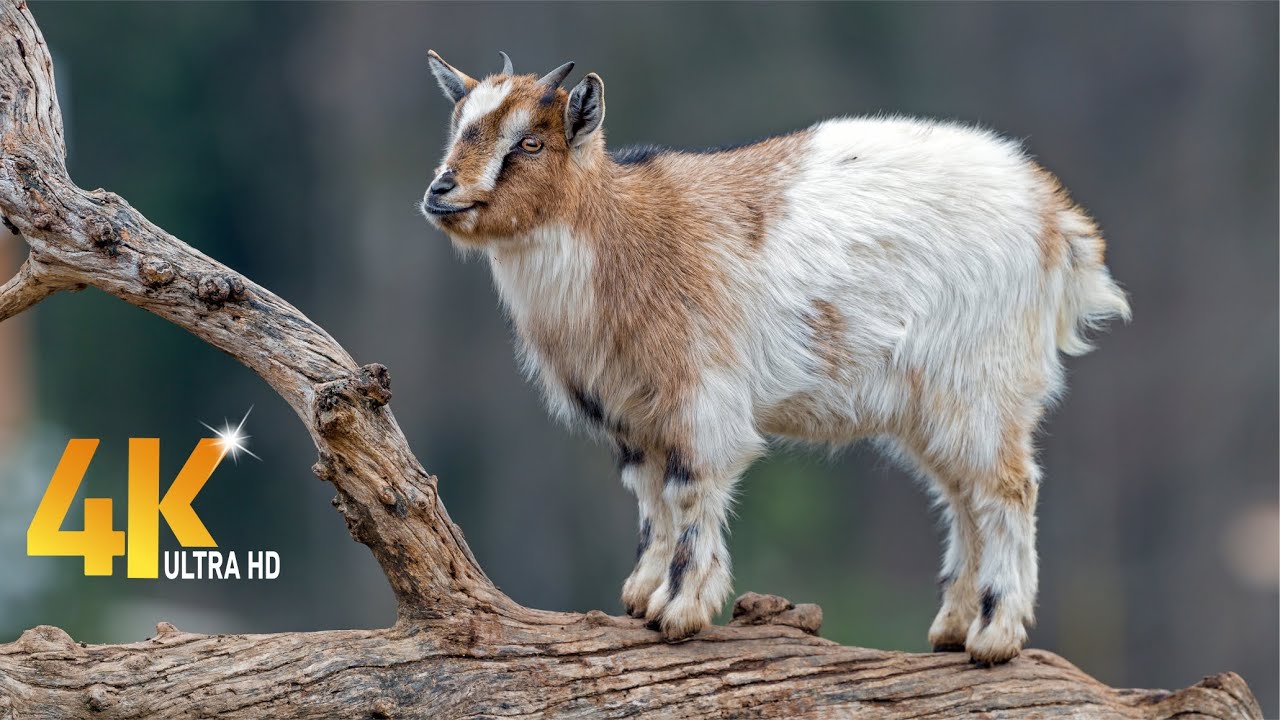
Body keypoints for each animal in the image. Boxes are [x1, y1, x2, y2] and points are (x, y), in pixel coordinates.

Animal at [419, 51, 1129, 665]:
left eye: (529, 144)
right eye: (456, 127)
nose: (441, 190)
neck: (618, 233)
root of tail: (1056, 221)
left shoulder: (699, 394)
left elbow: (689, 490)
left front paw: (680, 611)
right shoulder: (634, 411)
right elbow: (650, 500)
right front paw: (641, 598)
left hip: (980, 381)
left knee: (1008, 488)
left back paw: (995, 637)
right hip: (933, 404)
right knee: (963, 495)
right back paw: (954, 627)